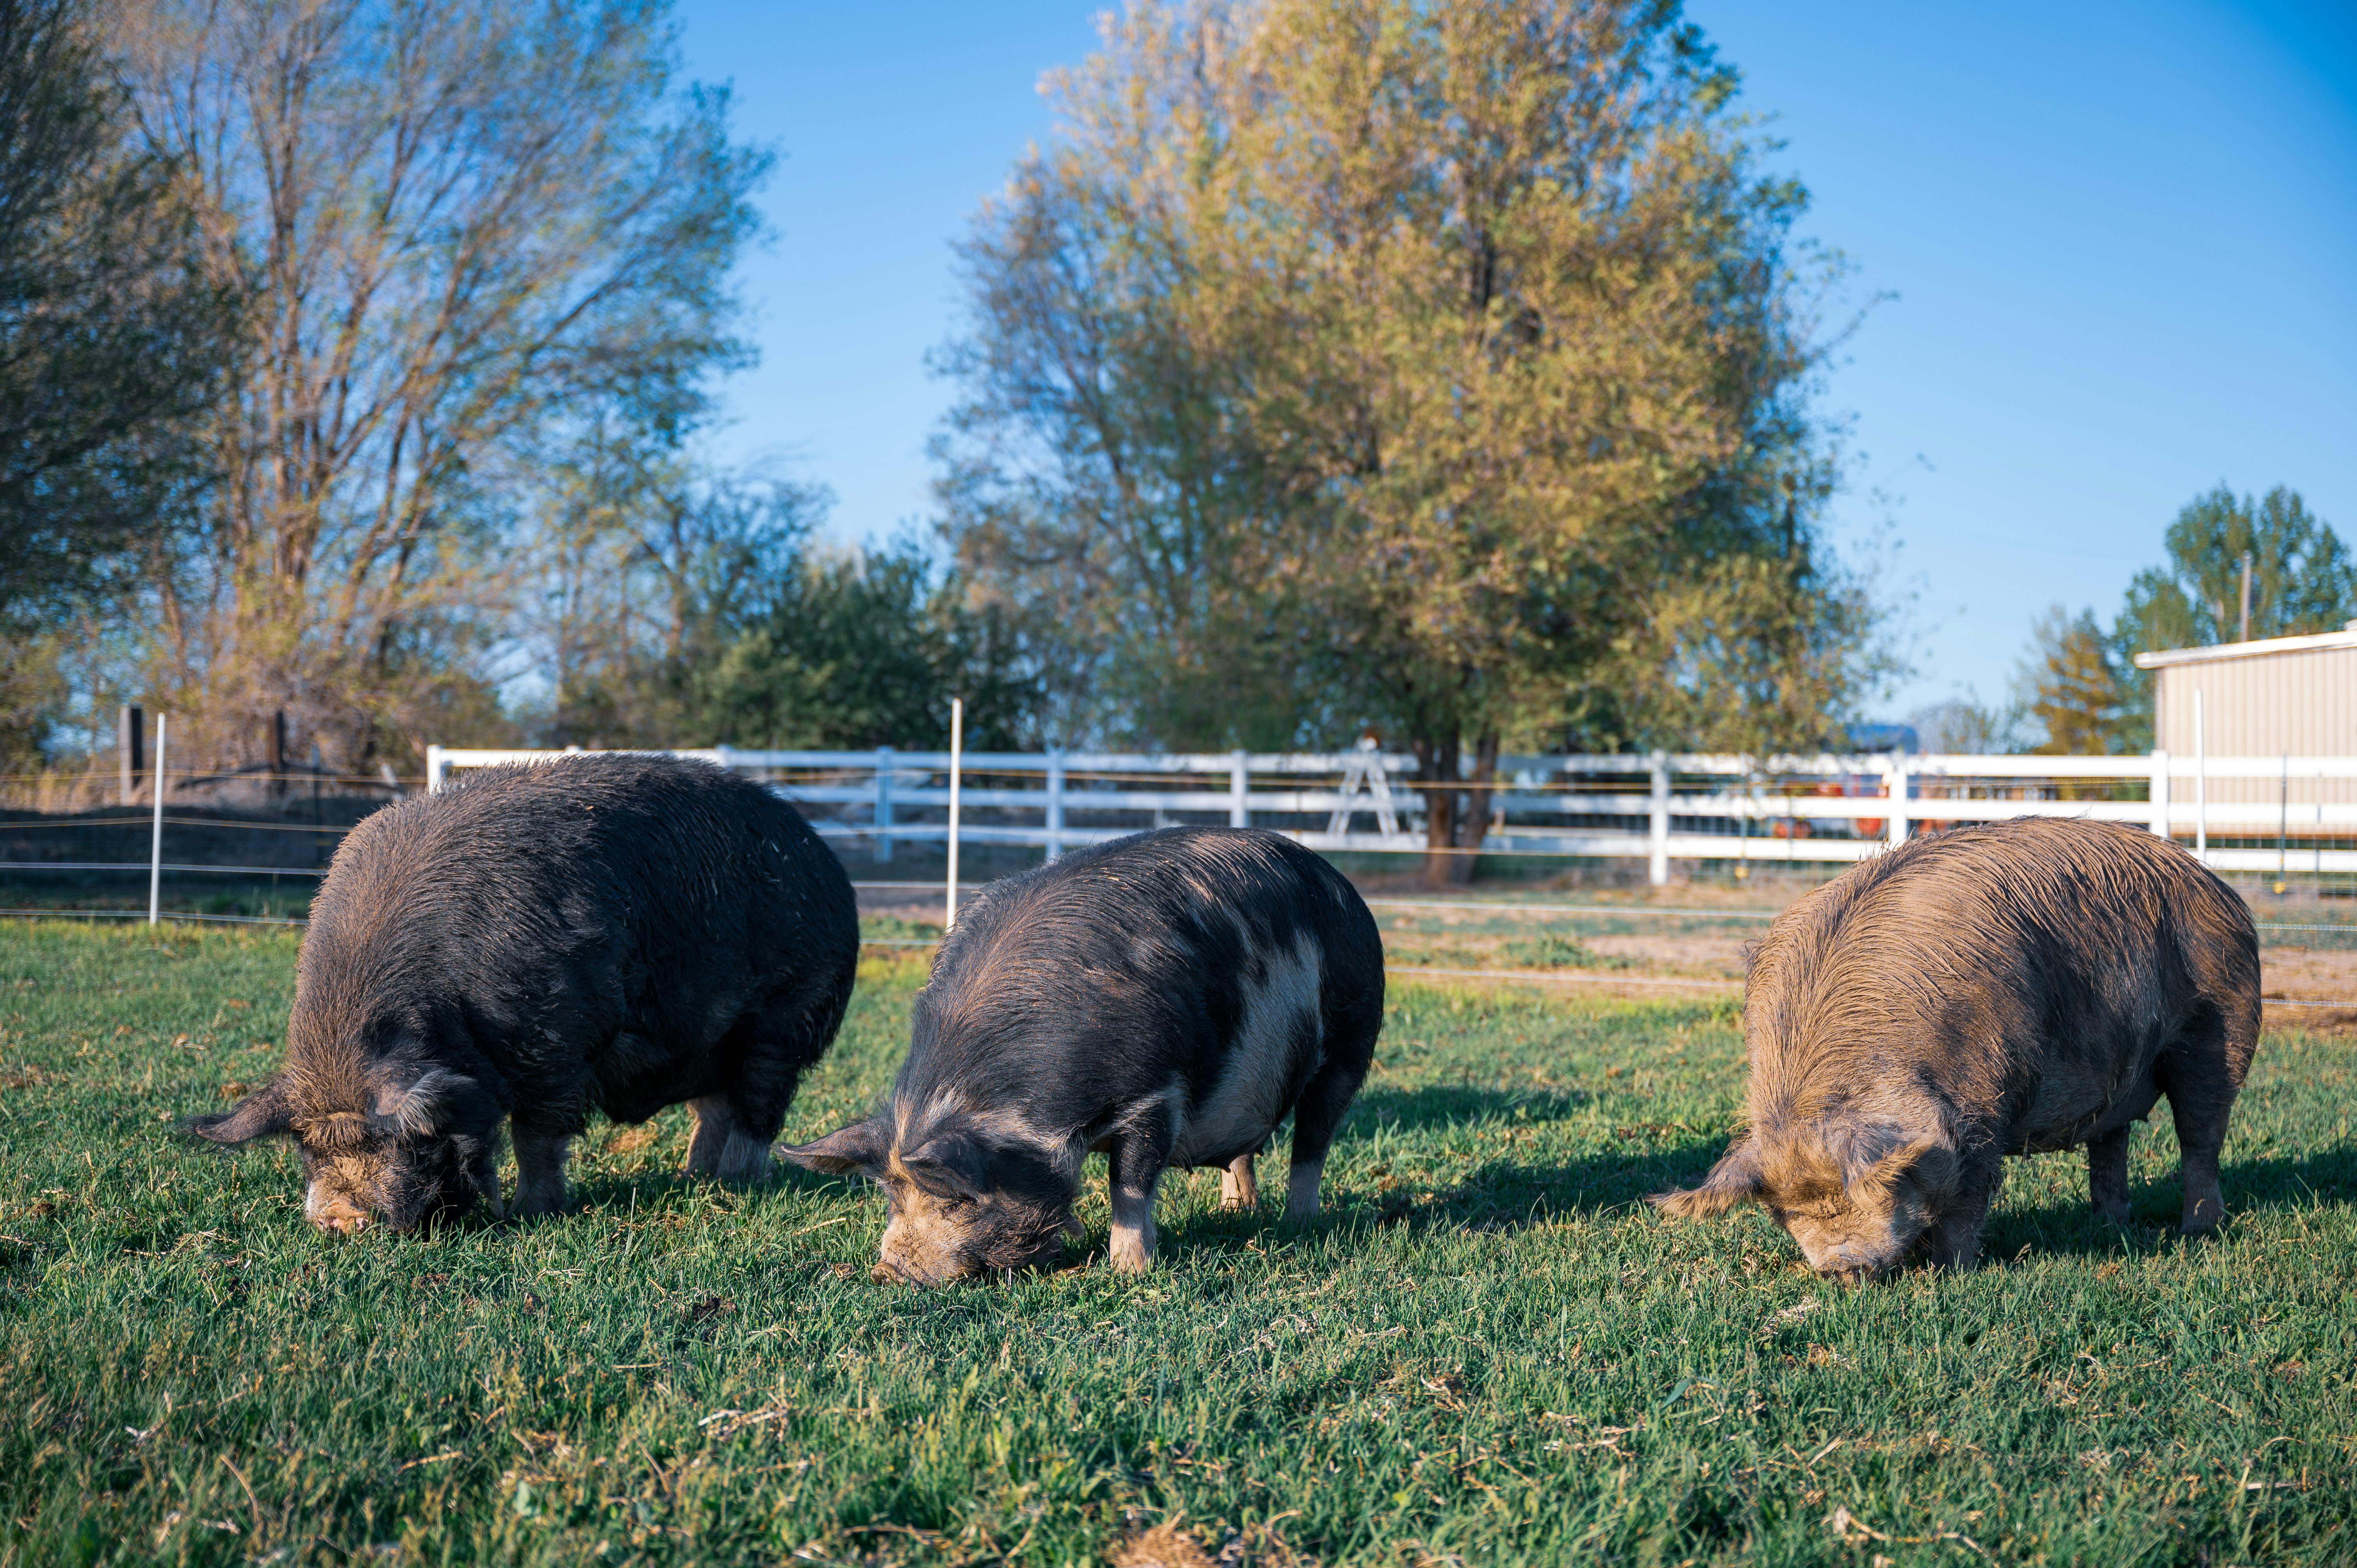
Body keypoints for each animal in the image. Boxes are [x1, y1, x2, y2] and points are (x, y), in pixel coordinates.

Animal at [191, 754, 858, 1226]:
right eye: (307, 1148)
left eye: (399, 1139)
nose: (341, 1220)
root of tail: (830, 864)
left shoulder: (556, 1041)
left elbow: (536, 1136)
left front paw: (527, 1215)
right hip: (711, 1045)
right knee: (712, 1109)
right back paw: (694, 1180)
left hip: (783, 1021)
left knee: (756, 1112)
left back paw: (736, 1185)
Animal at [792, 825, 1376, 1282]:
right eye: (891, 1194)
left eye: (957, 1198)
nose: (887, 1272)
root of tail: (1346, 889)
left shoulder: (1156, 1094)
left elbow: (1130, 1184)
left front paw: (1129, 1272)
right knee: (1243, 1153)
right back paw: (1238, 1211)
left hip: (1352, 1040)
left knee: (1314, 1139)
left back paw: (1298, 1223)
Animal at [1650, 811, 2253, 1282]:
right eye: (1784, 1213)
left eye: (1881, 1187)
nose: (1843, 1268)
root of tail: (2215, 881)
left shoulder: (1987, 1100)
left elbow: (1972, 1192)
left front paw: (1949, 1273)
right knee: (2111, 1141)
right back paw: (2104, 1226)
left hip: (2220, 1021)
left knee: (2201, 1133)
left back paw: (2197, 1230)